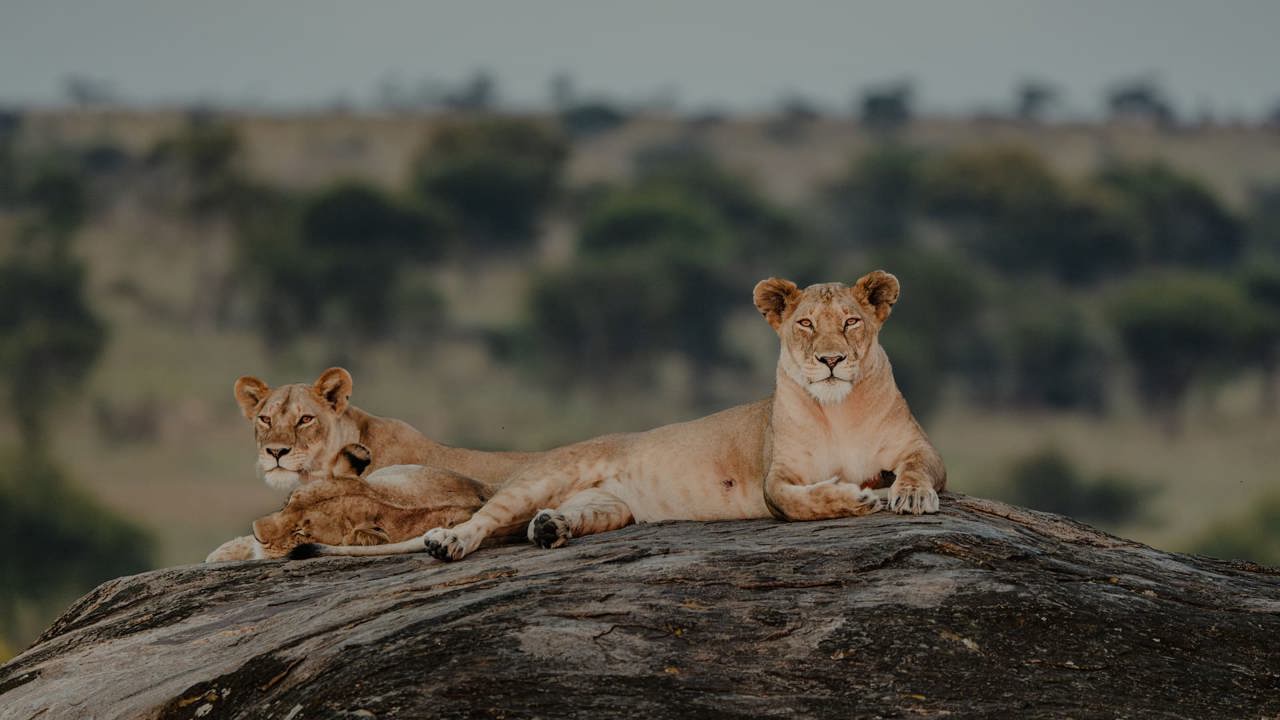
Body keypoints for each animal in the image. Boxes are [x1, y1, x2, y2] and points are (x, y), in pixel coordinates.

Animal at [292, 271, 946, 563]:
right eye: (806, 324)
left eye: (852, 322)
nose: (831, 360)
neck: (837, 411)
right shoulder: (775, 477)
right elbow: (800, 499)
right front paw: (856, 497)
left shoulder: (924, 450)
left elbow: (917, 468)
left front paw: (908, 495)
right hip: (541, 477)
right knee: (481, 520)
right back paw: (449, 540)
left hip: (612, 507)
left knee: (548, 521)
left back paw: (549, 528)